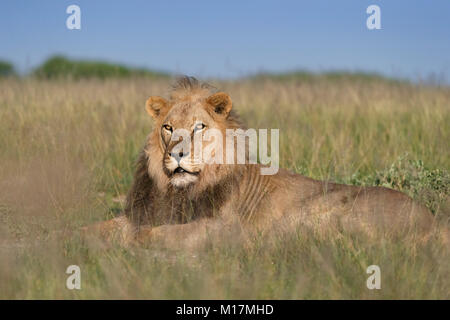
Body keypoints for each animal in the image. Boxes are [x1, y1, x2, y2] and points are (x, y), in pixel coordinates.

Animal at [89, 76, 436, 246]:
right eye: (168, 128)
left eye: (199, 127)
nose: (177, 154)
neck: (180, 190)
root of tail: (432, 218)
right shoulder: (145, 212)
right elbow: (95, 228)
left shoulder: (221, 227)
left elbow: (150, 235)